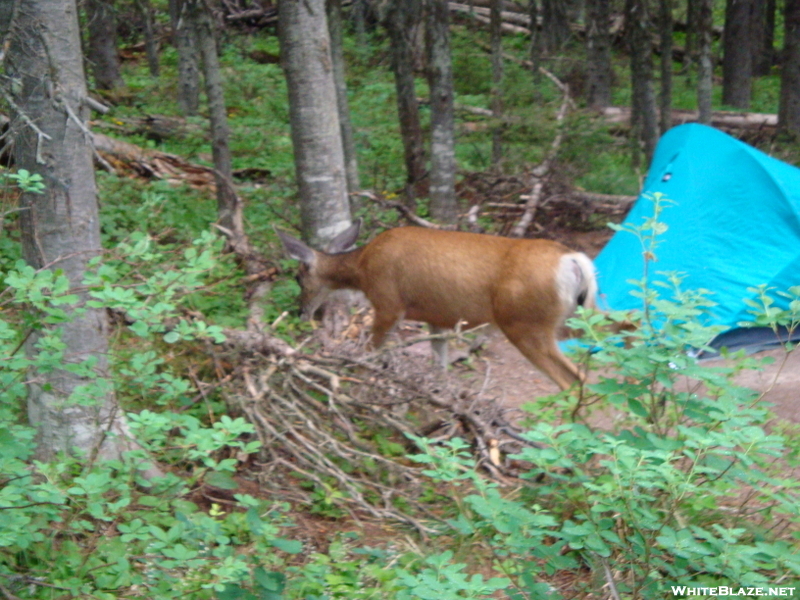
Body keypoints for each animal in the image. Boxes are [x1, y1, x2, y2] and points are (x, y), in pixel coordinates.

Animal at [278, 219, 596, 390]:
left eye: (297, 277)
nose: (301, 311)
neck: (363, 268)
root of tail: (572, 260)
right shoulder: (438, 317)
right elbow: (440, 366)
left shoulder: (388, 302)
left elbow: (370, 350)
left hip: (525, 323)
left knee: (571, 381)